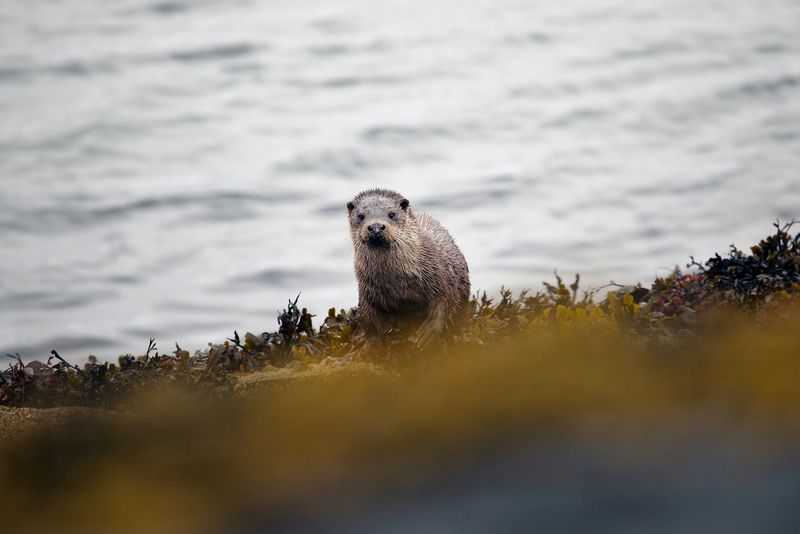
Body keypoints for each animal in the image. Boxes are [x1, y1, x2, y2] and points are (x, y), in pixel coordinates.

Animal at [347, 188, 470, 347]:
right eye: (361, 216)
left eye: (391, 214)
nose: (376, 227)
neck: (397, 281)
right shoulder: (366, 289)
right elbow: (368, 318)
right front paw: (375, 341)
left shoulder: (440, 275)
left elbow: (446, 300)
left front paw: (428, 332)